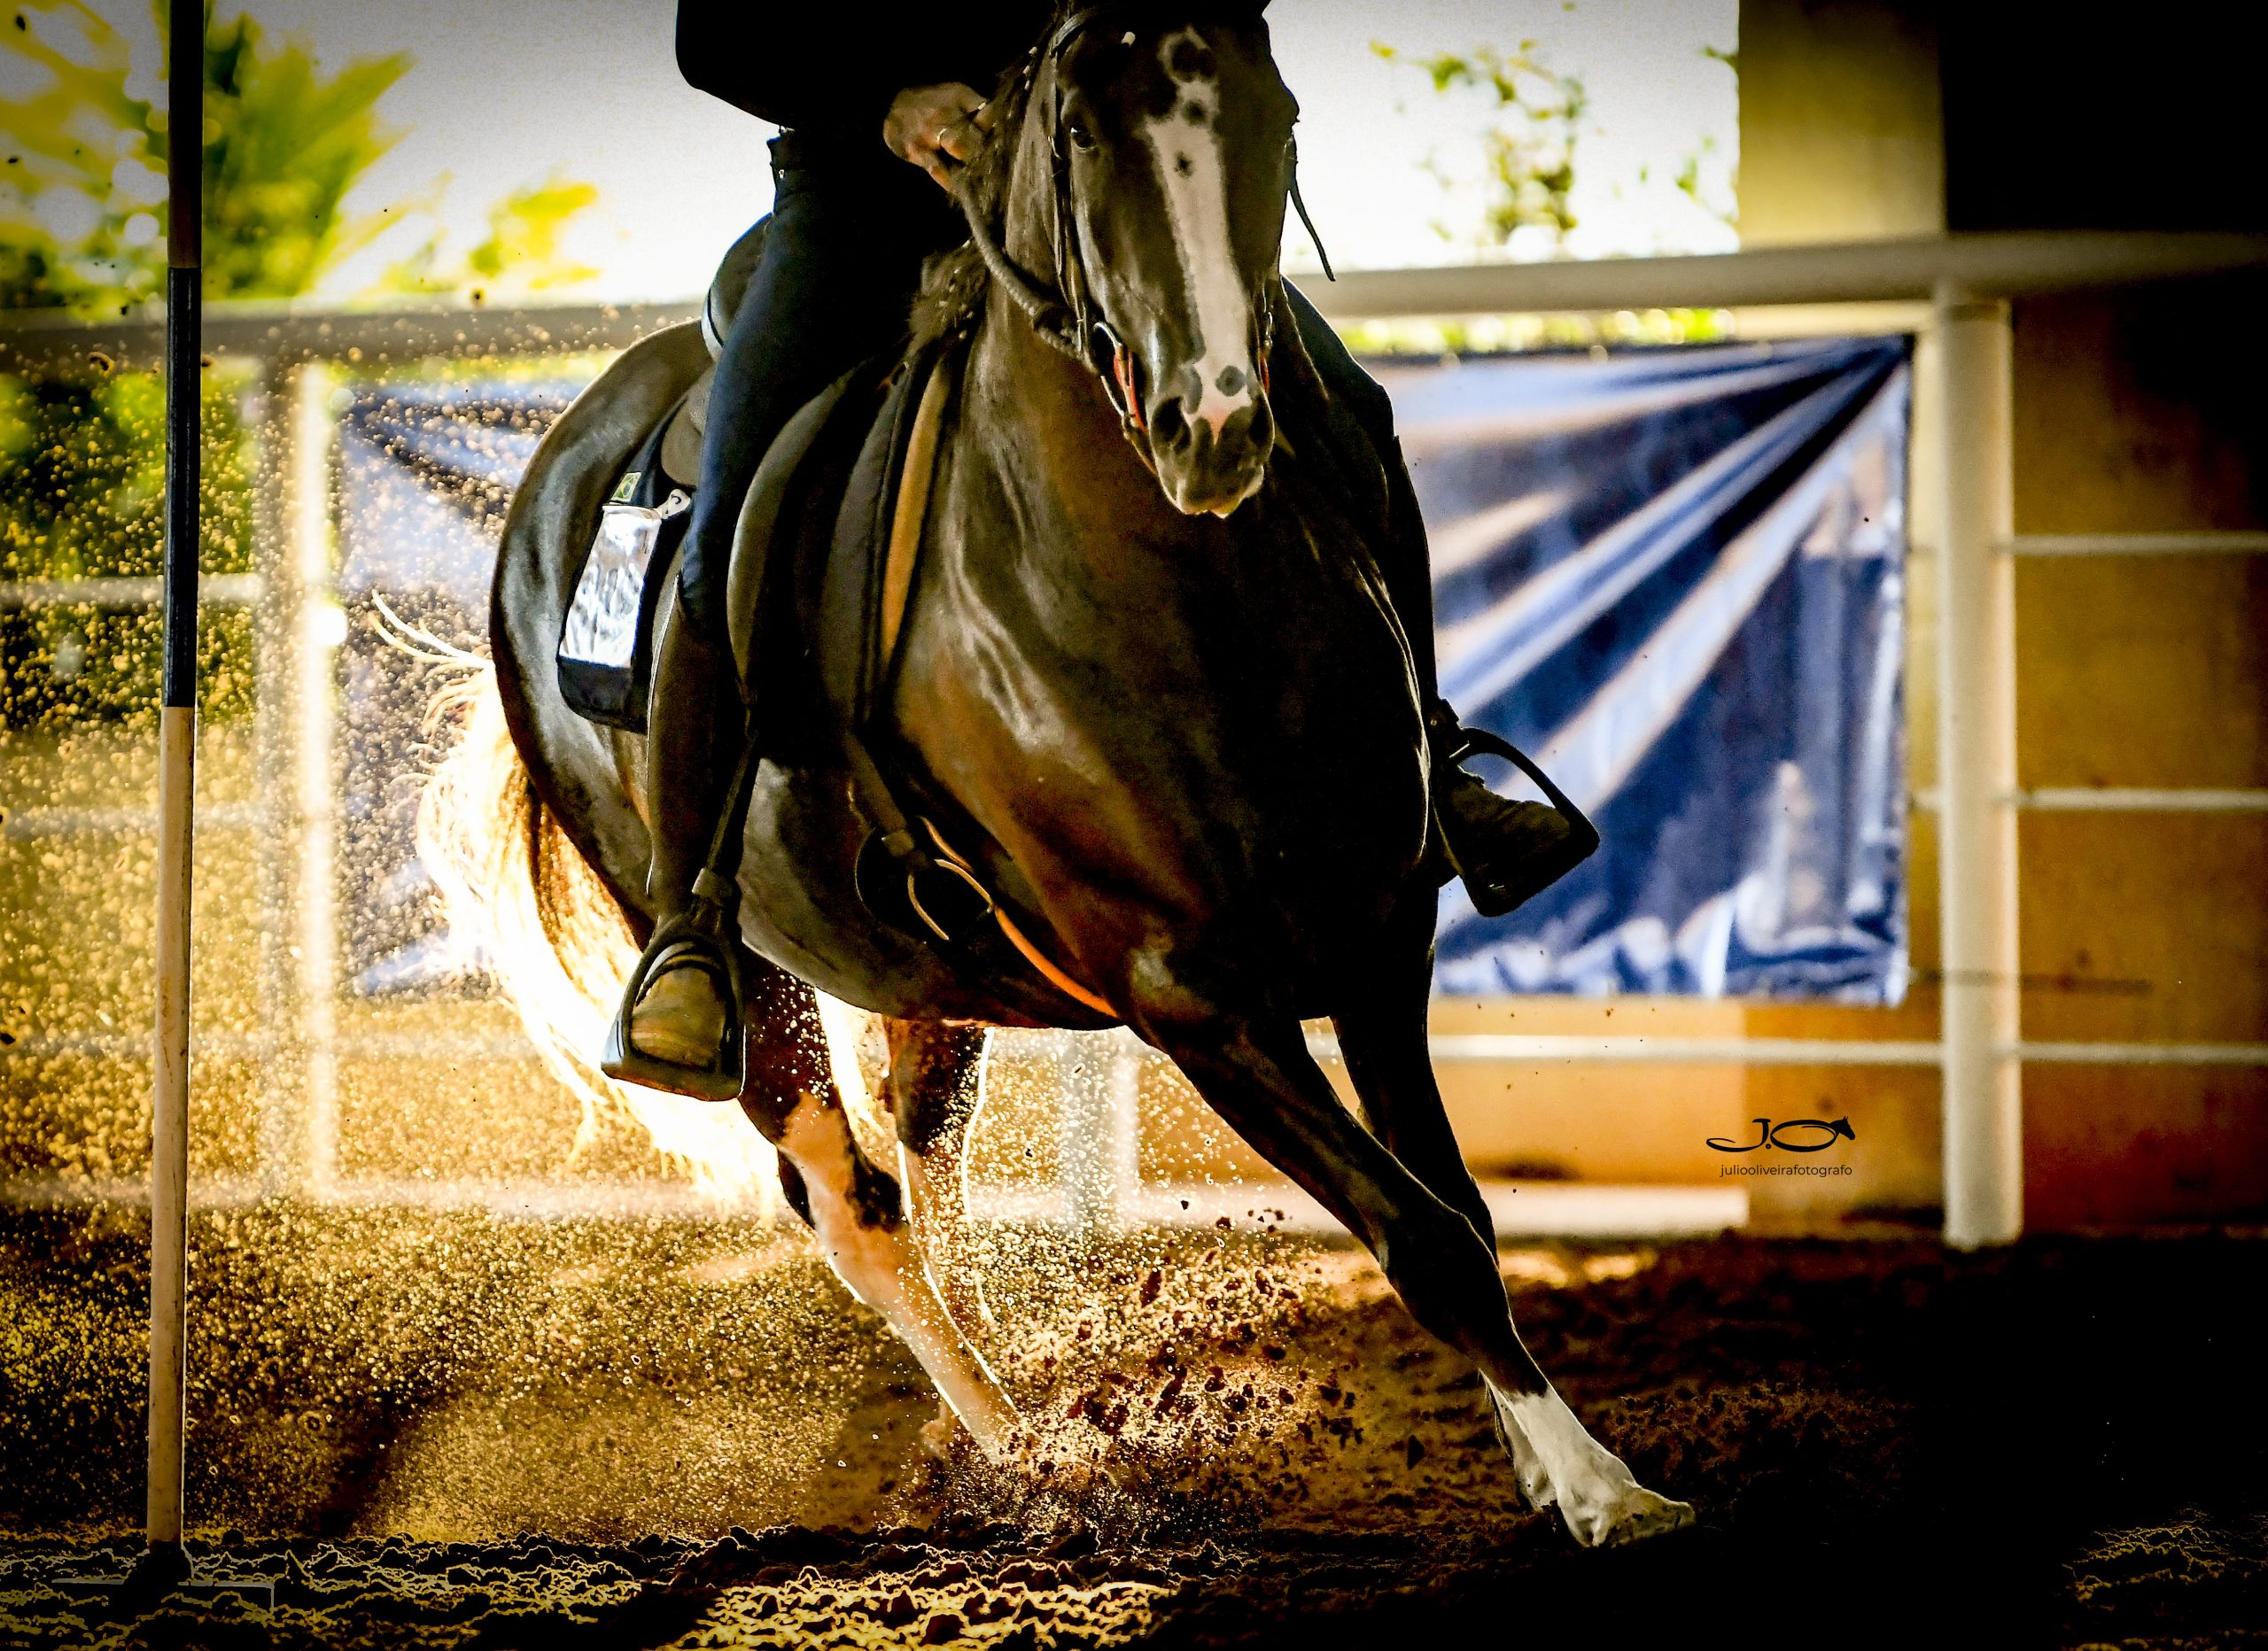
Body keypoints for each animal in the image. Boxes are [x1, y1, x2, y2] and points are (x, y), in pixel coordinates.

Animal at [433, 1, 1693, 1547]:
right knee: (857, 1209)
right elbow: (1421, 1232)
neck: (1171, 593)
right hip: (733, 960)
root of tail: (559, 461)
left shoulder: (1382, 936)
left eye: (1277, 118)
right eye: (1084, 133)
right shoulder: (1194, 999)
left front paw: (1546, 1459)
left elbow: (1460, 1206)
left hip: (923, 974)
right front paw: (1600, 1491)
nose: (1212, 424)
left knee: (932, 1171)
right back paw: (1023, 1453)